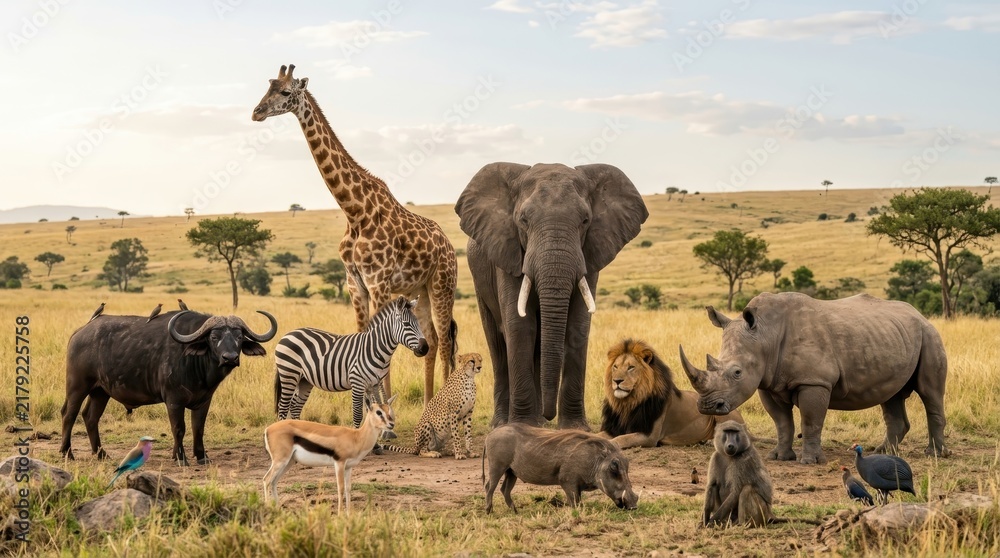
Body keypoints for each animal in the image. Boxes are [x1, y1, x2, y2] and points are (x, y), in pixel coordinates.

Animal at [274, 296, 428, 428]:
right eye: (406, 324)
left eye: (418, 323)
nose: (425, 348)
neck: (374, 348)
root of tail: (288, 333)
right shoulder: (357, 382)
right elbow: (358, 415)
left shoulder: (373, 384)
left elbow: (373, 412)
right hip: (289, 374)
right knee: (283, 408)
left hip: (304, 380)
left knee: (295, 407)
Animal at [455, 162, 648, 429]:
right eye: (523, 220)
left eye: (585, 220)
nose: (550, 415)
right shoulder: (508, 253)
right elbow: (519, 326)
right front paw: (521, 426)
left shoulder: (590, 253)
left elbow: (578, 324)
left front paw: (575, 428)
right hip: (479, 276)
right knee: (497, 343)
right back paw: (504, 423)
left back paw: (537, 423)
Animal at [600, 339, 744, 449]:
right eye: (615, 367)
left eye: (631, 367)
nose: (617, 381)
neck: (628, 403)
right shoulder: (614, 428)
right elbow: (599, 435)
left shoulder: (649, 436)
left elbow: (621, 439)